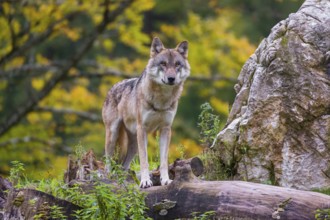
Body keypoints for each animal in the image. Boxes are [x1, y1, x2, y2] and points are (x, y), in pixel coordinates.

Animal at [103, 37, 191, 188]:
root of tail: (112, 88)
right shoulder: (142, 129)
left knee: (124, 165)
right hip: (113, 135)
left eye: (177, 65)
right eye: (163, 64)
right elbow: (144, 160)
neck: (162, 99)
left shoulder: (166, 129)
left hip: (133, 145)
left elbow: (163, 161)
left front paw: (165, 180)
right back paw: (108, 177)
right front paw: (145, 181)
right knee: (107, 161)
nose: (171, 78)